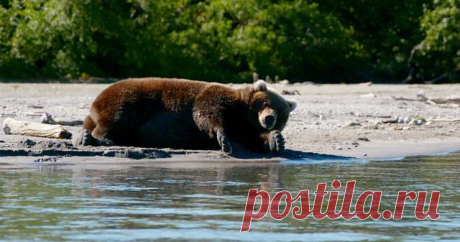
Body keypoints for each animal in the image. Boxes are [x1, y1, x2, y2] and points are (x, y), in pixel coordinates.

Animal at [74, 78, 298, 153]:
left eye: (281, 114)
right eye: (266, 103)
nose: (269, 118)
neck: (242, 113)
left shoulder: (244, 127)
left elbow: (251, 139)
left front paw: (276, 140)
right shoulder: (217, 98)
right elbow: (206, 112)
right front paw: (223, 139)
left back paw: (85, 137)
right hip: (127, 99)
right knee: (116, 117)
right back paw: (102, 138)